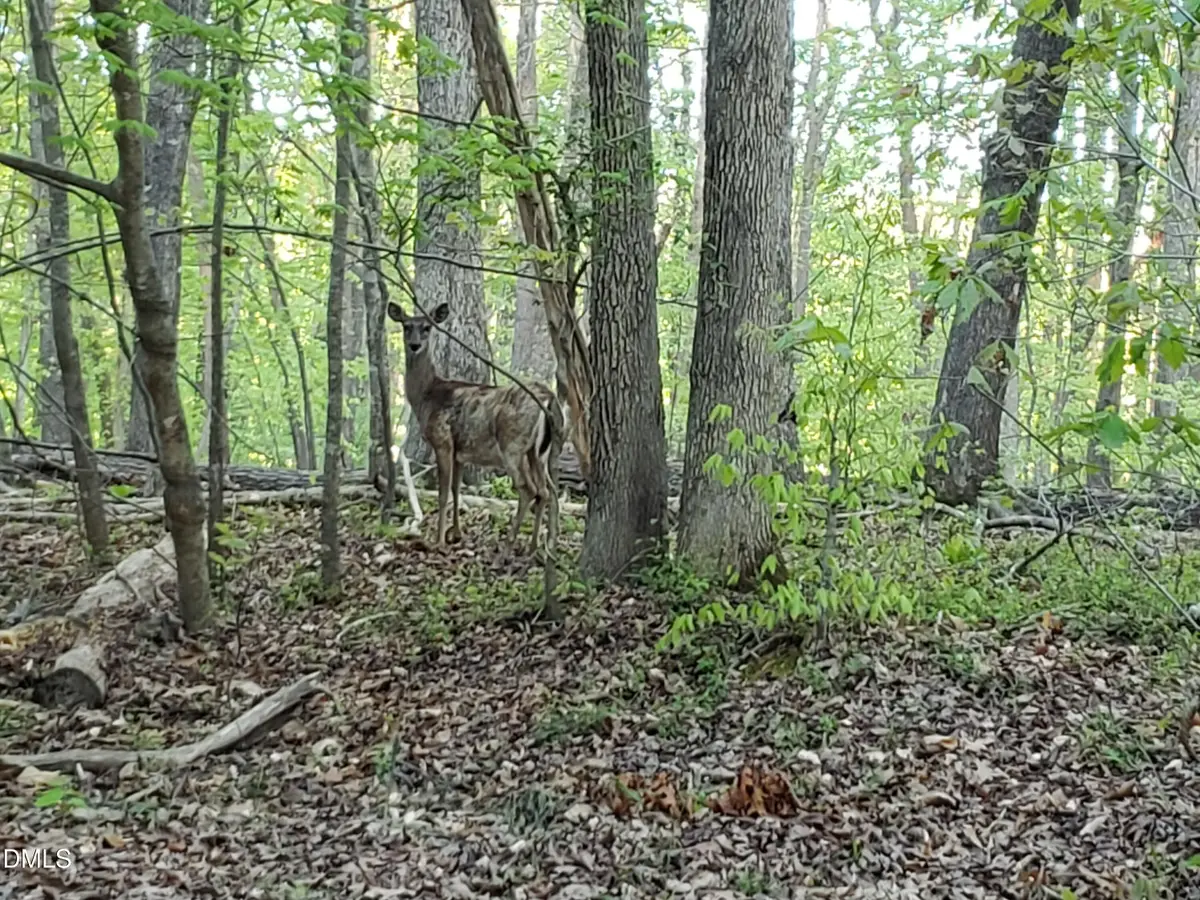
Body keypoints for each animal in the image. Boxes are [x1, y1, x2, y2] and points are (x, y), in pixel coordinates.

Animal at [388, 300, 564, 553]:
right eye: (406, 326)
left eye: (427, 328)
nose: (414, 345)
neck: (427, 395)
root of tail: (549, 397)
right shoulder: (460, 452)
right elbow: (456, 490)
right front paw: (456, 534)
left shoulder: (442, 441)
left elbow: (442, 494)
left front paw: (438, 541)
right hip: (539, 452)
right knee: (546, 491)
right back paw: (534, 548)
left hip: (512, 444)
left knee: (528, 489)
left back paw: (509, 546)